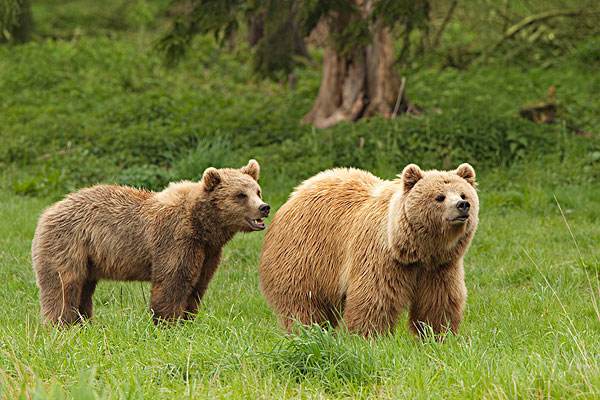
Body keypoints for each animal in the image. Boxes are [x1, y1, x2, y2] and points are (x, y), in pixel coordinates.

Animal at [30, 159, 270, 324]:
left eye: (257, 190)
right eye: (240, 195)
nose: (264, 207)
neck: (203, 225)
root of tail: (48, 211)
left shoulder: (208, 252)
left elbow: (198, 285)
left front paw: (188, 320)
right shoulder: (176, 240)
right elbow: (173, 282)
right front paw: (167, 323)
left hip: (89, 258)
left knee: (84, 288)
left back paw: (83, 322)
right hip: (67, 242)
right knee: (64, 284)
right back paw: (61, 323)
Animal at [258, 163, 478, 338]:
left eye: (463, 194)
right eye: (439, 197)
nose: (462, 205)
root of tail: (295, 194)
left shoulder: (441, 267)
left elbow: (439, 301)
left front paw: (438, 335)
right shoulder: (381, 258)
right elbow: (375, 298)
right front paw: (368, 336)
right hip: (303, 256)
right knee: (303, 303)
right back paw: (307, 332)